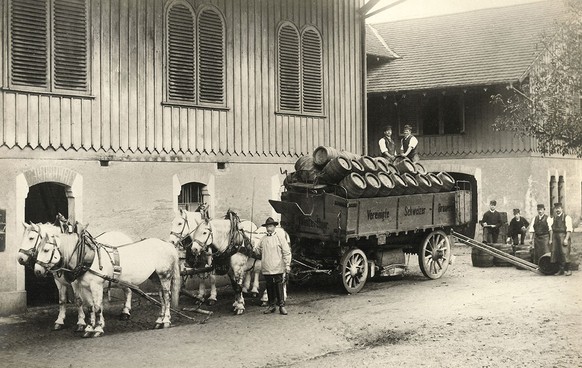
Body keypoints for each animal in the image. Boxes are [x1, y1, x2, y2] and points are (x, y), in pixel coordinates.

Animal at [34, 223, 180, 338]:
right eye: (37, 249)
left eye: (46, 250)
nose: (37, 271)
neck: (86, 257)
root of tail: (167, 244)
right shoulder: (85, 287)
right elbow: (90, 307)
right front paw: (89, 328)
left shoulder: (96, 285)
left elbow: (98, 307)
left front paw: (98, 329)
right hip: (155, 277)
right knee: (161, 297)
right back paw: (159, 320)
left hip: (164, 275)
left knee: (166, 296)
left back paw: (166, 320)